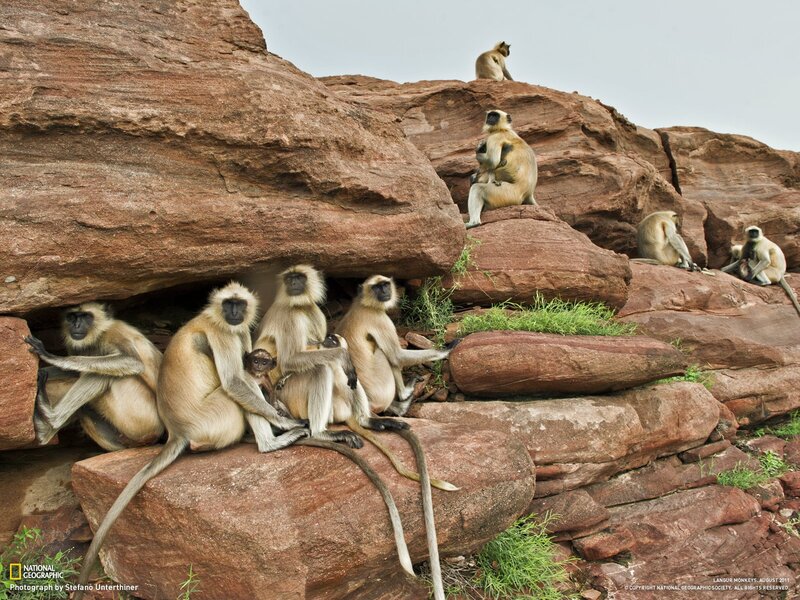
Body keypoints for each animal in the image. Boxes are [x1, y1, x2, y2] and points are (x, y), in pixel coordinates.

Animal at [24, 303, 164, 452]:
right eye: (72, 316)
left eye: (86, 316)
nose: (76, 325)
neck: (98, 334)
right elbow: (75, 373)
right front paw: (38, 372)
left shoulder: (114, 332)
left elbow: (133, 362)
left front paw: (51, 356)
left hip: (141, 418)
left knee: (102, 374)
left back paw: (52, 417)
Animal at [73, 283, 308, 598]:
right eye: (228, 304)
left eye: (240, 304)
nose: (234, 313)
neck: (218, 319)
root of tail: (177, 431)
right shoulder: (222, 334)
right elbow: (236, 381)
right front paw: (283, 421)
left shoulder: (239, 332)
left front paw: (280, 407)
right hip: (214, 418)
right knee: (239, 383)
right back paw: (270, 443)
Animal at [242, 349, 414, 576]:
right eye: (256, 360)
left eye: (262, 361)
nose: (259, 365)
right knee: (322, 368)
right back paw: (312, 433)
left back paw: (367, 420)